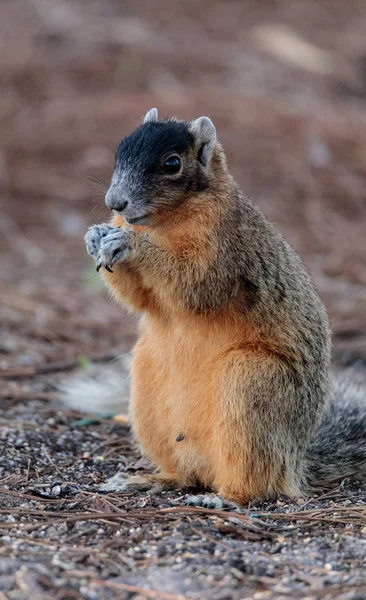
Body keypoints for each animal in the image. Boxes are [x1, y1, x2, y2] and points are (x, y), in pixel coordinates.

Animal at [83, 108, 366, 506]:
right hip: (147, 391)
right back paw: (150, 479)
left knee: (257, 482)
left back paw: (223, 498)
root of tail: (295, 464)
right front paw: (95, 236)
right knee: (186, 474)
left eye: (172, 164)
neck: (166, 221)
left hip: (250, 384)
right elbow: (139, 298)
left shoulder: (225, 247)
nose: (115, 203)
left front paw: (130, 244)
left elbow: (196, 283)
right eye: (118, 153)